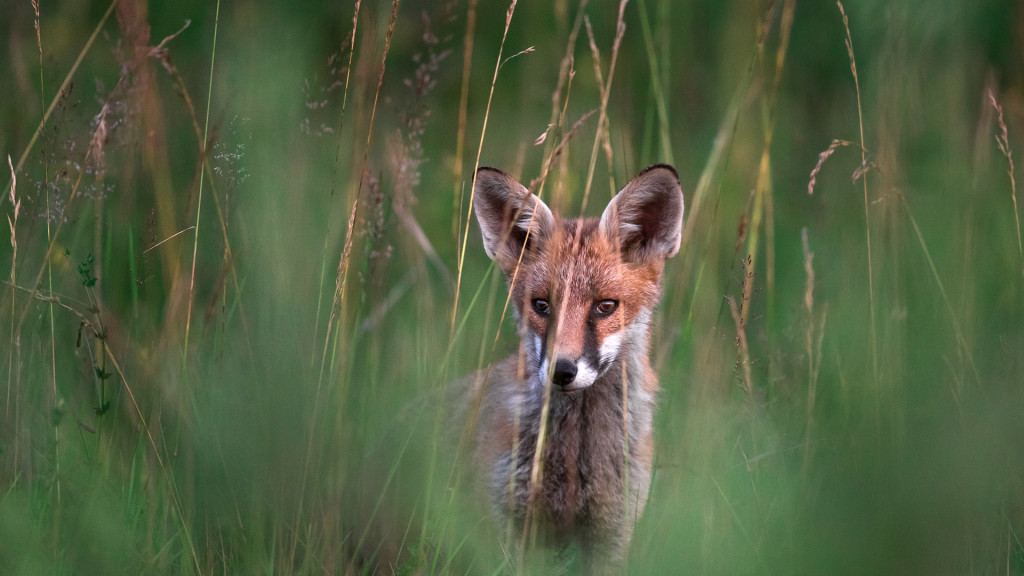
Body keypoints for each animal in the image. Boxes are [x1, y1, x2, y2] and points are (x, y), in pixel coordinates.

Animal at [468, 161, 684, 565]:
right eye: (541, 305)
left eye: (605, 306)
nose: (562, 370)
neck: (575, 455)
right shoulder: (506, 527)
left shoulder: (612, 530)